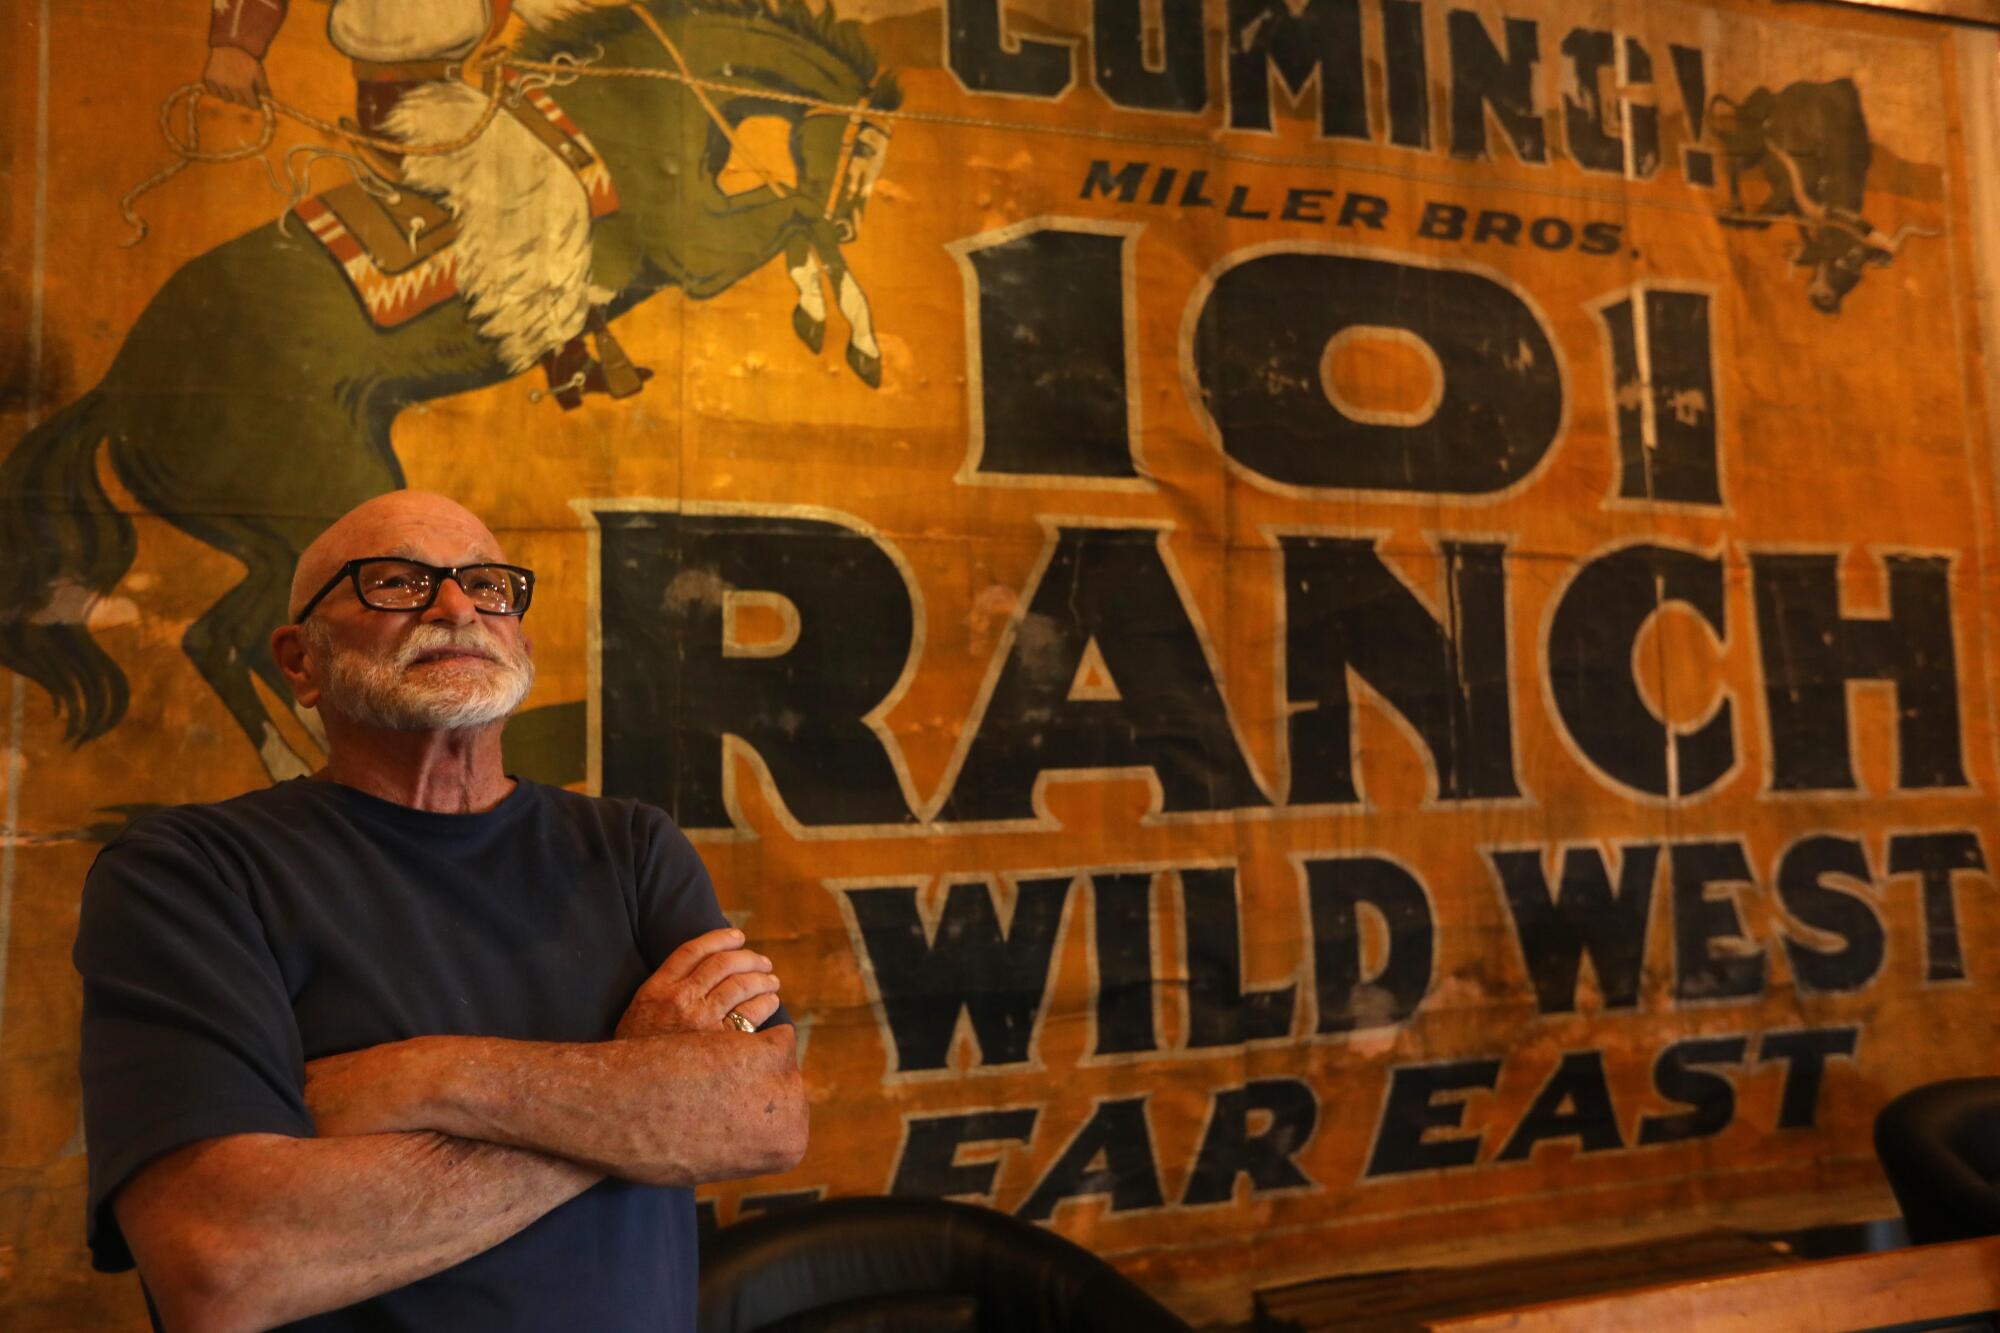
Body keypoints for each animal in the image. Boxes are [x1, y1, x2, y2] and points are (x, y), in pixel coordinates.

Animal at [0, 0, 900, 780]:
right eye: (864, 151)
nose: (857, 218)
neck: (637, 111)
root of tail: (121, 387)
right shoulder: (694, 255)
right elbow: (792, 216)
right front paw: (848, 327)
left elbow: (797, 226)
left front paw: (829, 319)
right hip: (311, 517)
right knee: (219, 639)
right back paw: (298, 761)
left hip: (265, 537)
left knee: (242, 640)